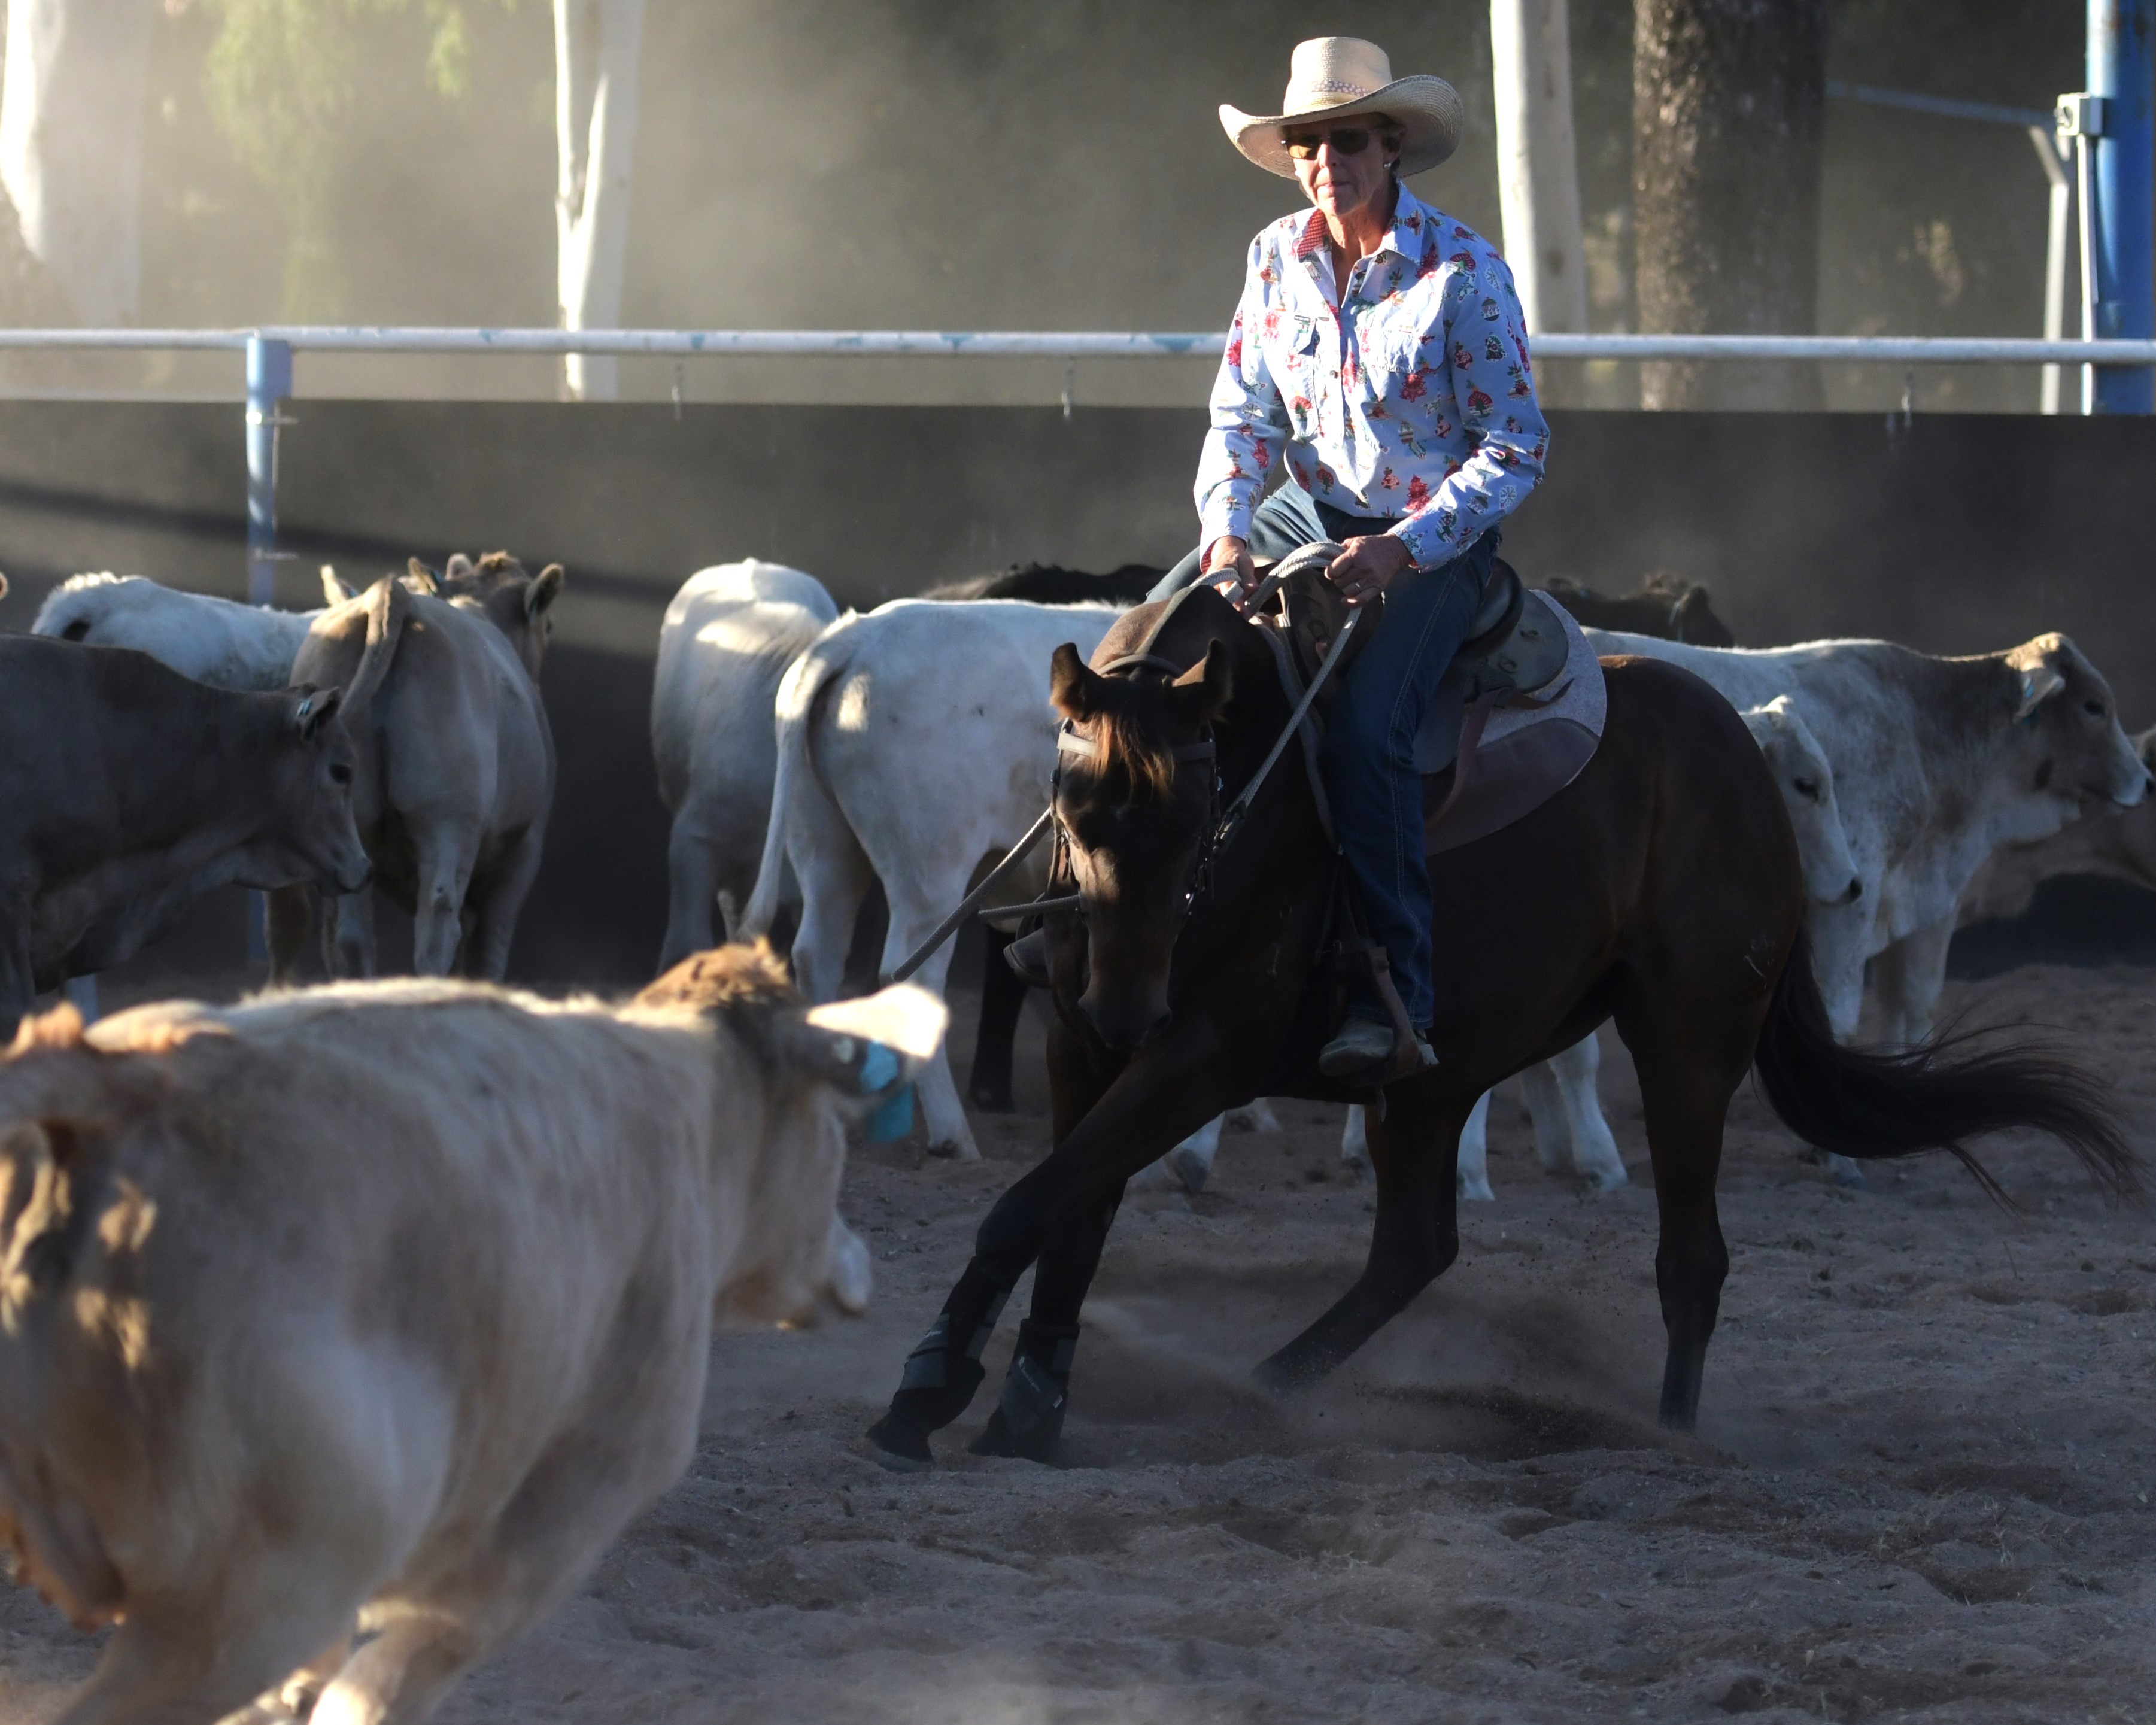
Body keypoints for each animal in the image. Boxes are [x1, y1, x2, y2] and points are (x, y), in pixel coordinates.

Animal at [271, 553, 562, 983]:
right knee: (439, 922)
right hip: (448, 819)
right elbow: (490, 947)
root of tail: (392, 594)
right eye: (549, 626)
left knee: (352, 936)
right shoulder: (525, 851)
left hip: (347, 823)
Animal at [741, 599, 1123, 1160]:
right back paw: (953, 1134)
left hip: (824, 843)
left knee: (818, 953)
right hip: (932, 871)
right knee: (910, 974)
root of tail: (858, 635)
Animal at [864, 581, 2138, 1469]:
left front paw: (926, 1390)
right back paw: (1266, 1386)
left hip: (1688, 1040)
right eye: (1074, 803)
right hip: (1435, 1076)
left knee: (1690, 1256)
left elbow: (1032, 1203)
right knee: (1413, 1247)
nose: (1134, 1000)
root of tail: (1730, 740)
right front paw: (1022, 1404)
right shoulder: (1086, 1044)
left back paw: (1666, 1433)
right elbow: (1068, 1215)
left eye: (1204, 804)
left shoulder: (1204, 1053)